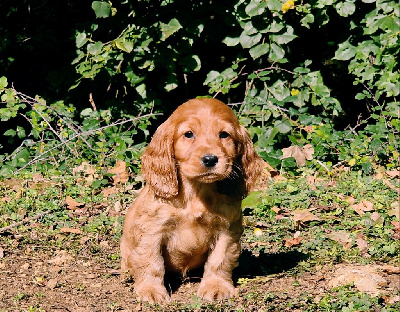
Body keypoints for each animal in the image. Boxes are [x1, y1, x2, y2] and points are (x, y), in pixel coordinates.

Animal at [120, 97, 264, 302]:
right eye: (189, 134)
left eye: (224, 135)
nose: (210, 159)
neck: (196, 192)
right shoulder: (152, 230)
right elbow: (152, 262)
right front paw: (151, 290)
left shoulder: (227, 230)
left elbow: (219, 260)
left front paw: (216, 286)